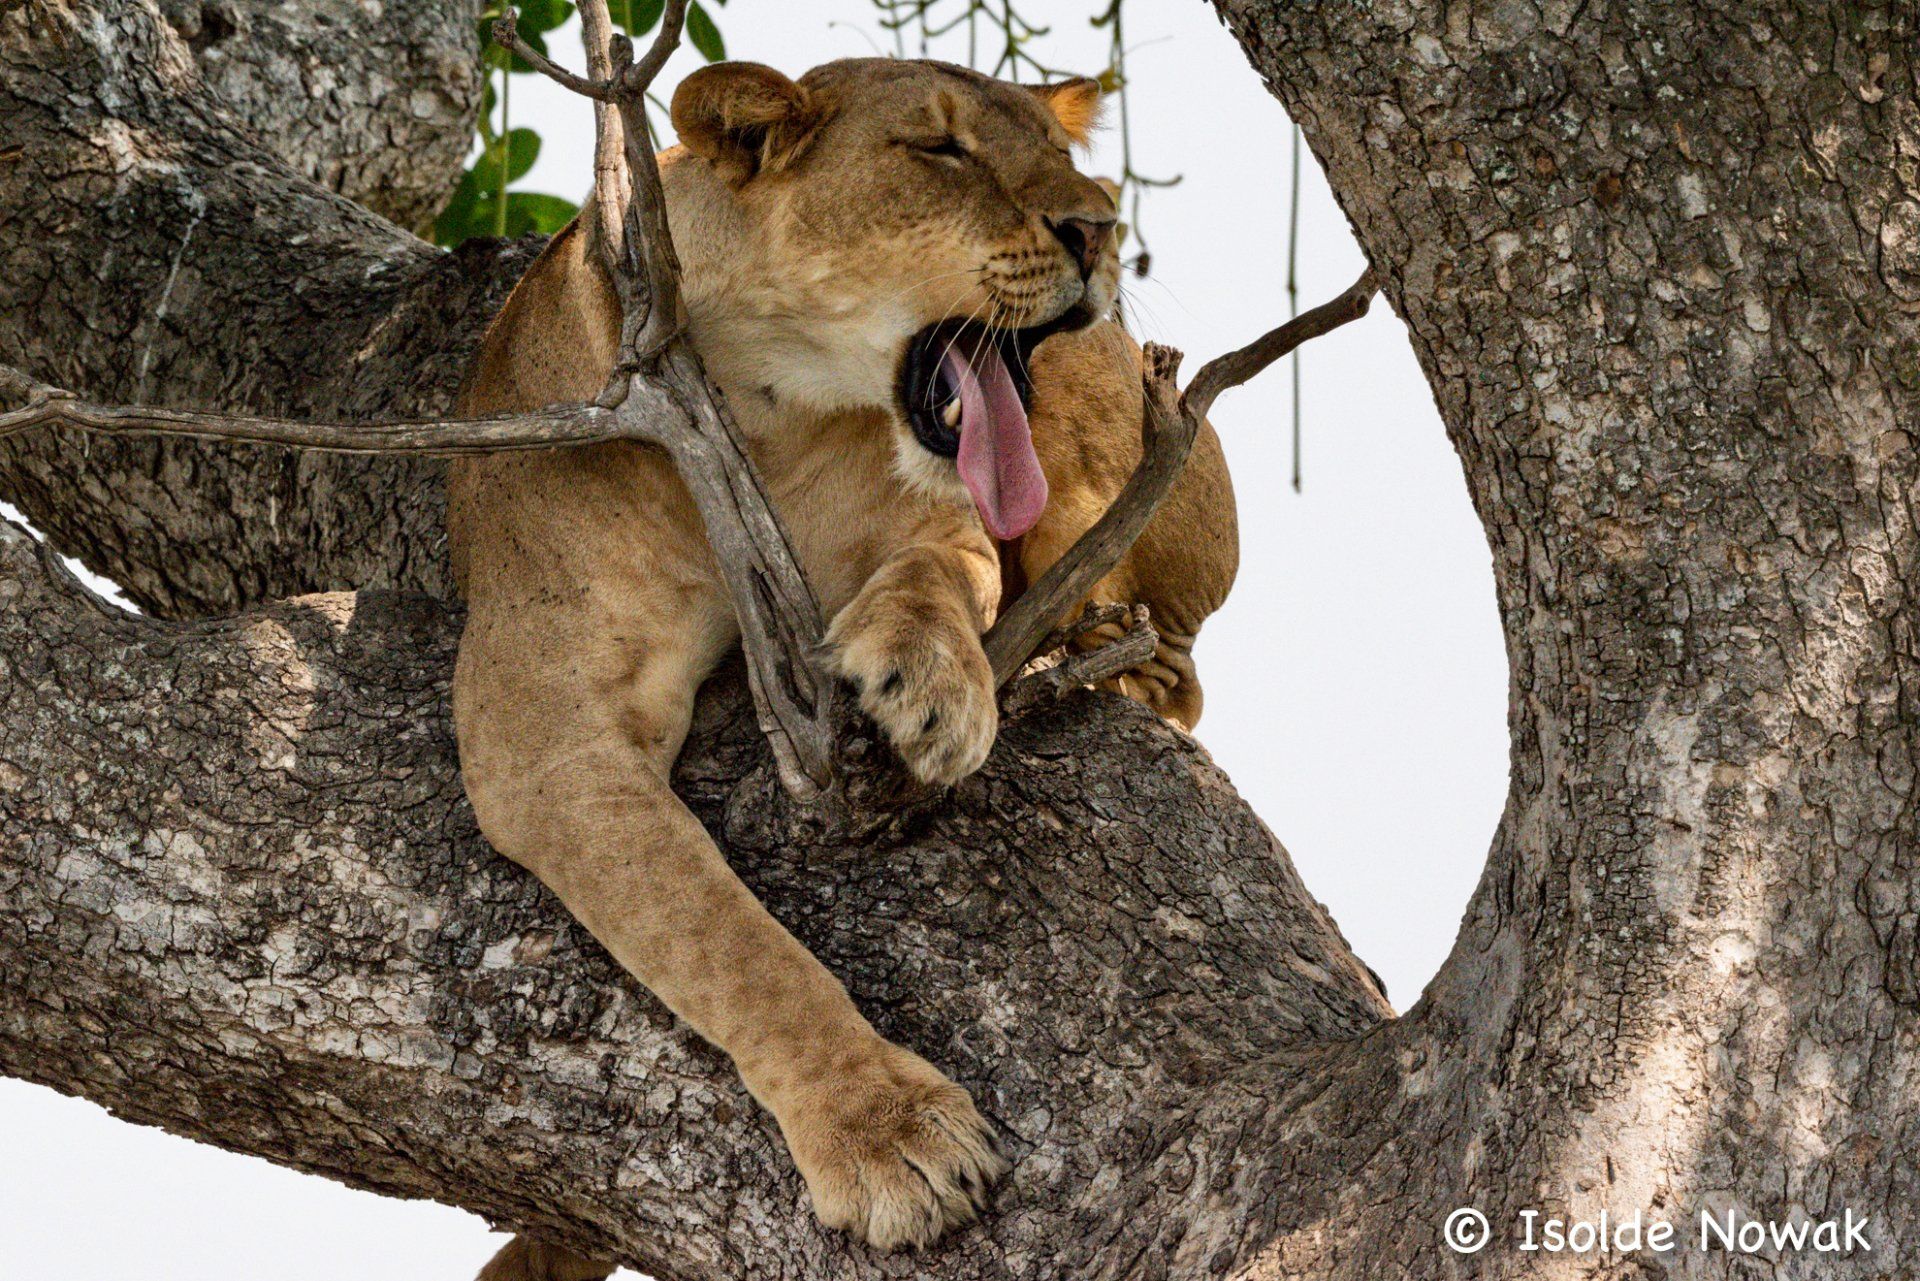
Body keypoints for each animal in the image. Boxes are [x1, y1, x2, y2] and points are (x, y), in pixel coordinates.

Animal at [449, 57, 1237, 1272]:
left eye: (1063, 156)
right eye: (942, 149)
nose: (1102, 227)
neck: (771, 411)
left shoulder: (939, 526)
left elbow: (941, 574)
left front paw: (933, 687)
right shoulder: (542, 728)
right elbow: (728, 941)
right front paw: (891, 1137)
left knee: (1177, 666)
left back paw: (1101, 658)